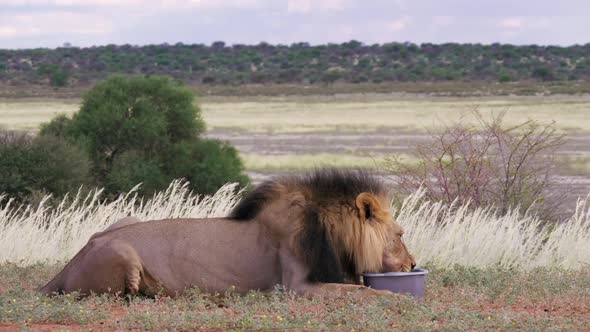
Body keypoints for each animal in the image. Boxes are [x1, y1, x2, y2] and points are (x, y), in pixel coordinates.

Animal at [40, 169, 416, 298]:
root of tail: (67, 266)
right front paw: (397, 296)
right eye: (400, 234)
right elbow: (367, 292)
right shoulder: (296, 286)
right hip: (122, 251)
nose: (413, 266)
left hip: (121, 221)